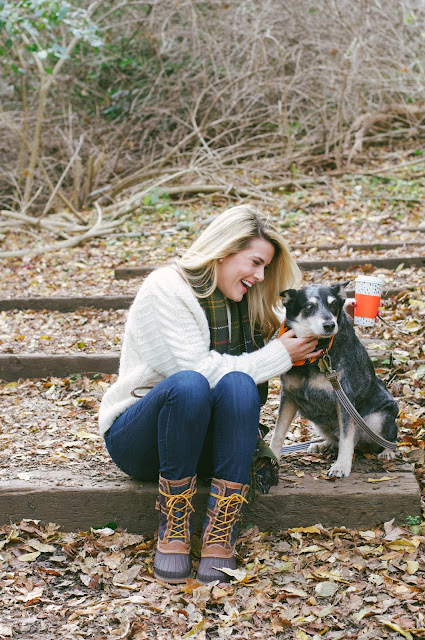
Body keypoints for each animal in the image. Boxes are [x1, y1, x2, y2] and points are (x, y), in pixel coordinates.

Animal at [268, 284, 398, 476]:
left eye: (334, 304)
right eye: (309, 306)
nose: (329, 325)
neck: (316, 354)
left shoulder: (344, 399)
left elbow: (346, 439)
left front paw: (341, 466)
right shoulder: (289, 396)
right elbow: (278, 433)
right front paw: (271, 457)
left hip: (377, 418)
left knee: (389, 438)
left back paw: (388, 451)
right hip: (318, 423)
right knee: (337, 439)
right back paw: (321, 445)